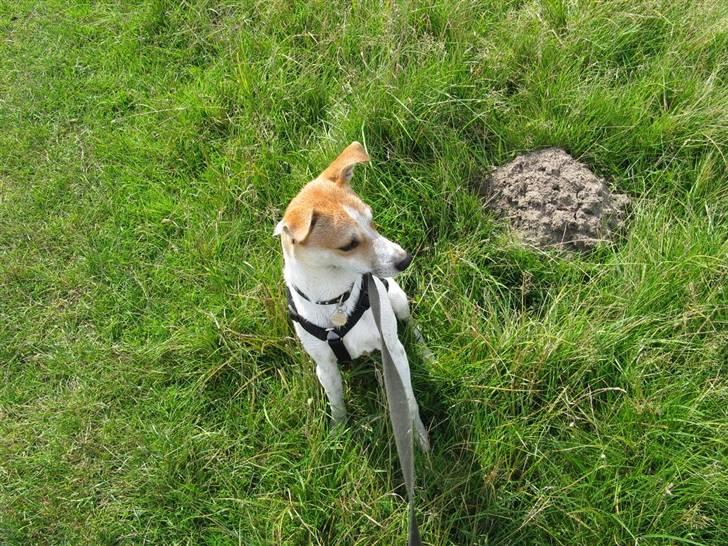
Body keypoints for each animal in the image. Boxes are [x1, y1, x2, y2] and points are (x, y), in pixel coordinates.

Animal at [276, 141, 430, 450]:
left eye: (372, 220)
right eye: (348, 245)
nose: (405, 259)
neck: (335, 299)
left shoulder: (394, 352)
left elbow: (408, 402)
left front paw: (419, 438)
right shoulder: (325, 368)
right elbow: (337, 406)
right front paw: (338, 437)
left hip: (398, 299)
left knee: (412, 325)